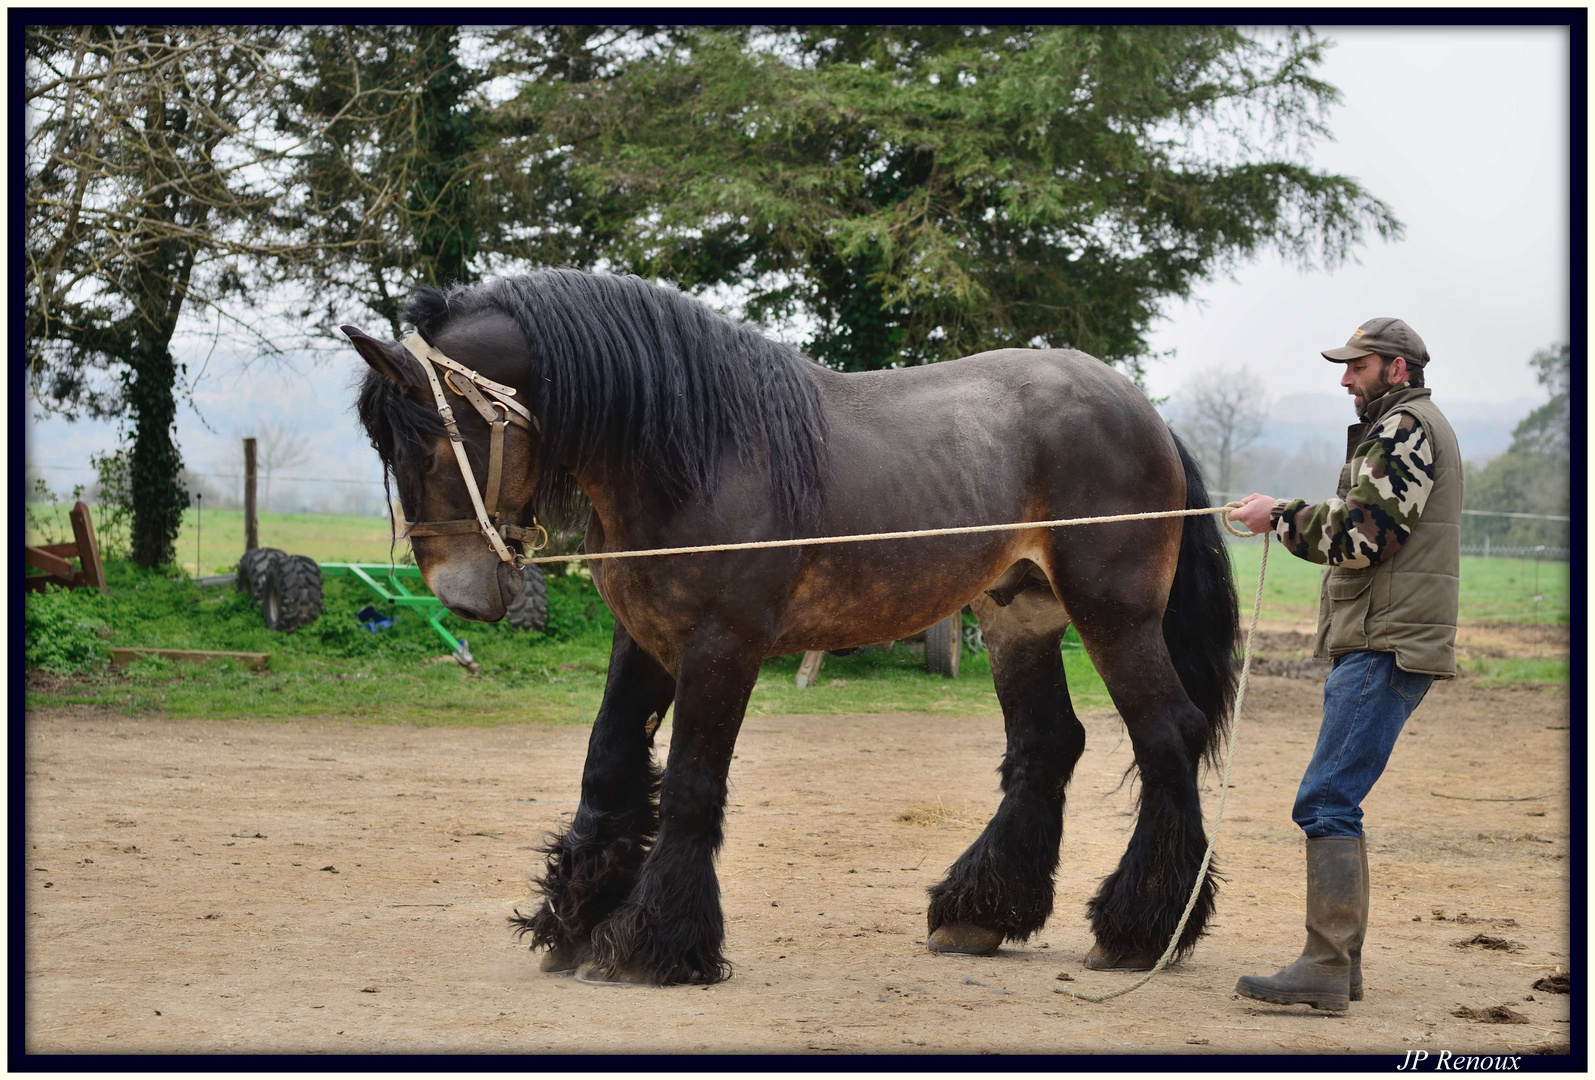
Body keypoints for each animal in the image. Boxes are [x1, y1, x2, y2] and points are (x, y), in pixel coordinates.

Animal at [346, 269, 1244, 982]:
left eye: (434, 440)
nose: (461, 596)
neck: (697, 453)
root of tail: (1142, 414)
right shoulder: (643, 638)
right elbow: (608, 770)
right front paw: (575, 918)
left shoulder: (722, 645)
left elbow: (692, 786)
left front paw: (652, 944)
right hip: (1017, 615)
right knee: (1046, 745)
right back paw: (980, 911)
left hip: (1114, 613)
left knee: (1166, 733)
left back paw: (1141, 930)